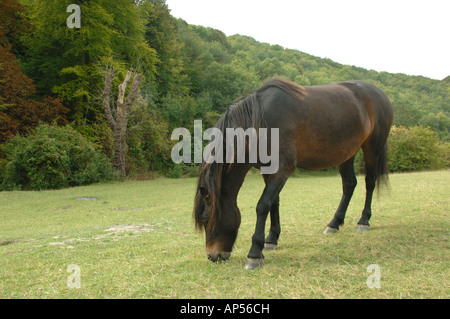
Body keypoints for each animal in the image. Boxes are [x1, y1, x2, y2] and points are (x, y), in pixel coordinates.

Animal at [193, 78, 394, 270]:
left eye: (205, 219)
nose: (213, 256)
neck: (260, 121)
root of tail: (381, 94)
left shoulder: (283, 168)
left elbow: (262, 205)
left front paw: (255, 253)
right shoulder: (268, 169)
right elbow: (274, 203)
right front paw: (271, 239)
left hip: (373, 147)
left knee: (370, 182)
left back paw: (363, 221)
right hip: (347, 153)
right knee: (349, 185)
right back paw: (334, 223)